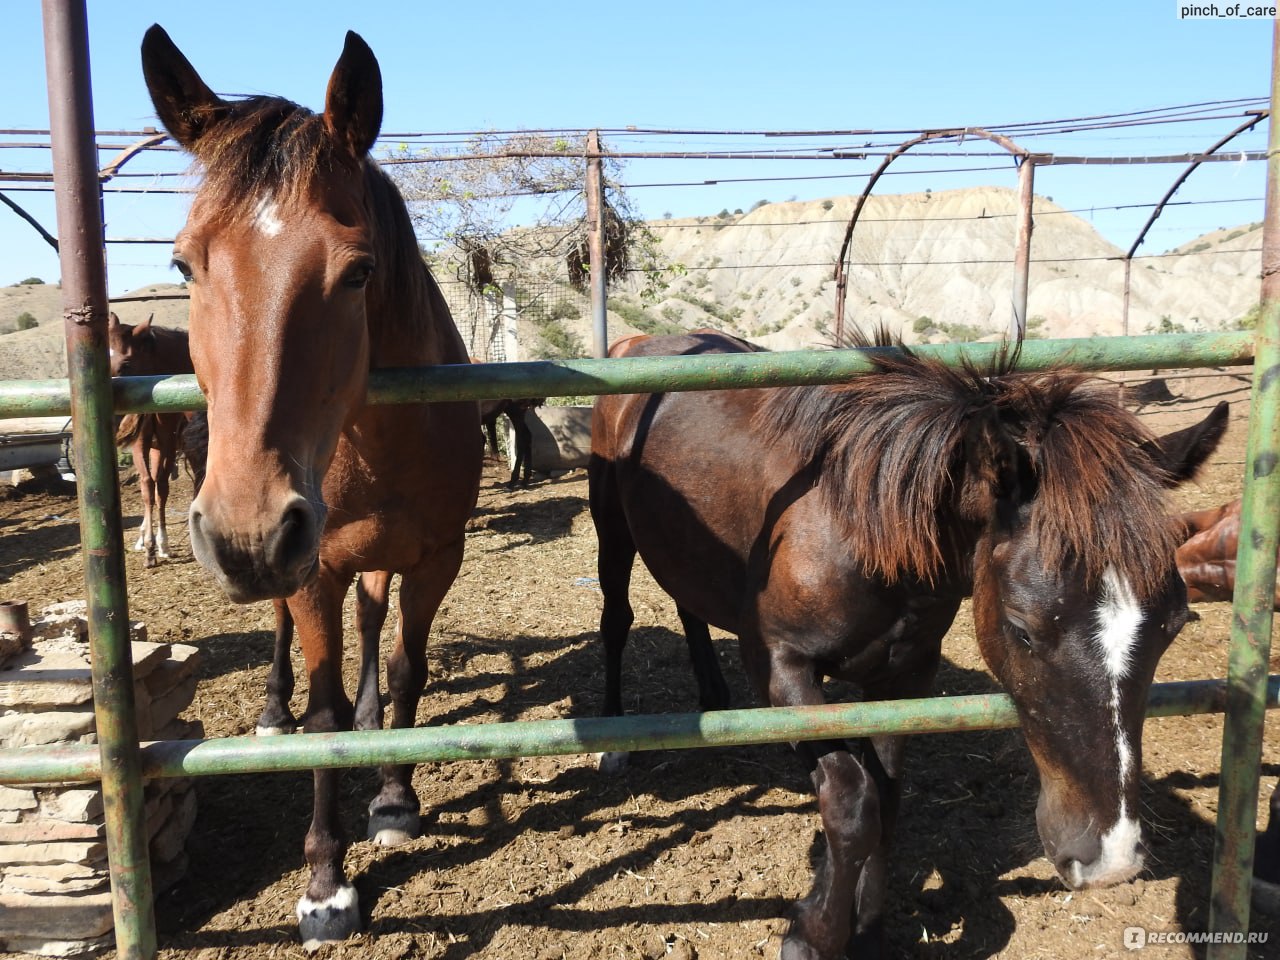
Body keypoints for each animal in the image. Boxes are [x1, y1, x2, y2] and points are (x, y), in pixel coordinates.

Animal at [107, 312, 193, 568]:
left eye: (126, 364)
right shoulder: (143, 445)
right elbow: (150, 486)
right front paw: (151, 544)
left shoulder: (167, 445)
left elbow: (160, 487)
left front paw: (159, 544)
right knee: (150, 485)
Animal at [140, 24, 481, 947]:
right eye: (183, 266)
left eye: (357, 271)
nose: (247, 531)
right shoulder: (312, 567)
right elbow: (322, 719)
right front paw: (327, 885)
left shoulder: (436, 557)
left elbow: (405, 668)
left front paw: (395, 799)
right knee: (286, 637)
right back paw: (271, 706)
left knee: (372, 623)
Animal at [591, 332, 1228, 960]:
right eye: (1022, 627)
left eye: (1174, 624)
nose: (1109, 859)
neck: (855, 524)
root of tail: (636, 344)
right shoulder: (782, 667)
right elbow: (852, 803)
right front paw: (811, 935)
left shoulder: (903, 679)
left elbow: (886, 801)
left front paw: (866, 933)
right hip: (612, 533)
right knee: (617, 621)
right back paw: (615, 742)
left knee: (687, 603)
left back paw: (712, 699)